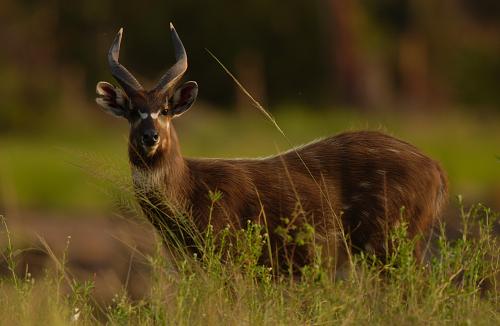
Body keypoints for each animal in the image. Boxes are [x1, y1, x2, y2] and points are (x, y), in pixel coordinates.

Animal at [95, 23, 448, 272]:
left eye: (165, 110)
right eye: (132, 112)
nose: (150, 137)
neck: (189, 192)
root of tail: (437, 171)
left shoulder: (229, 252)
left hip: (392, 239)